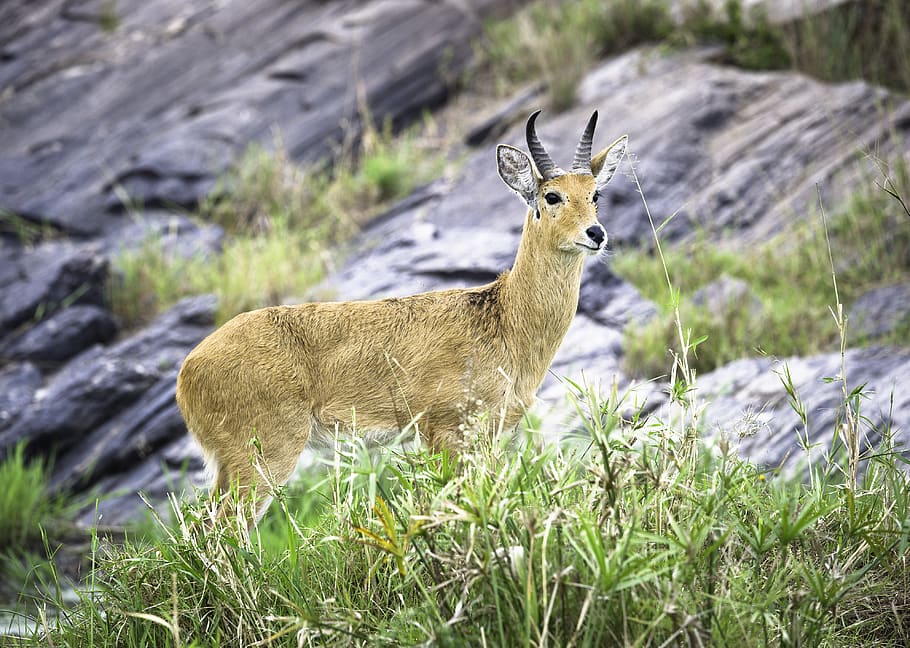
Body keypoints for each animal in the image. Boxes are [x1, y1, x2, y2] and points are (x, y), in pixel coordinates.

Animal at [178, 110, 632, 516]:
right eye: (551, 195)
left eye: (595, 194)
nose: (596, 233)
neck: (504, 321)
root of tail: (188, 371)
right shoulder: (444, 431)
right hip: (263, 457)